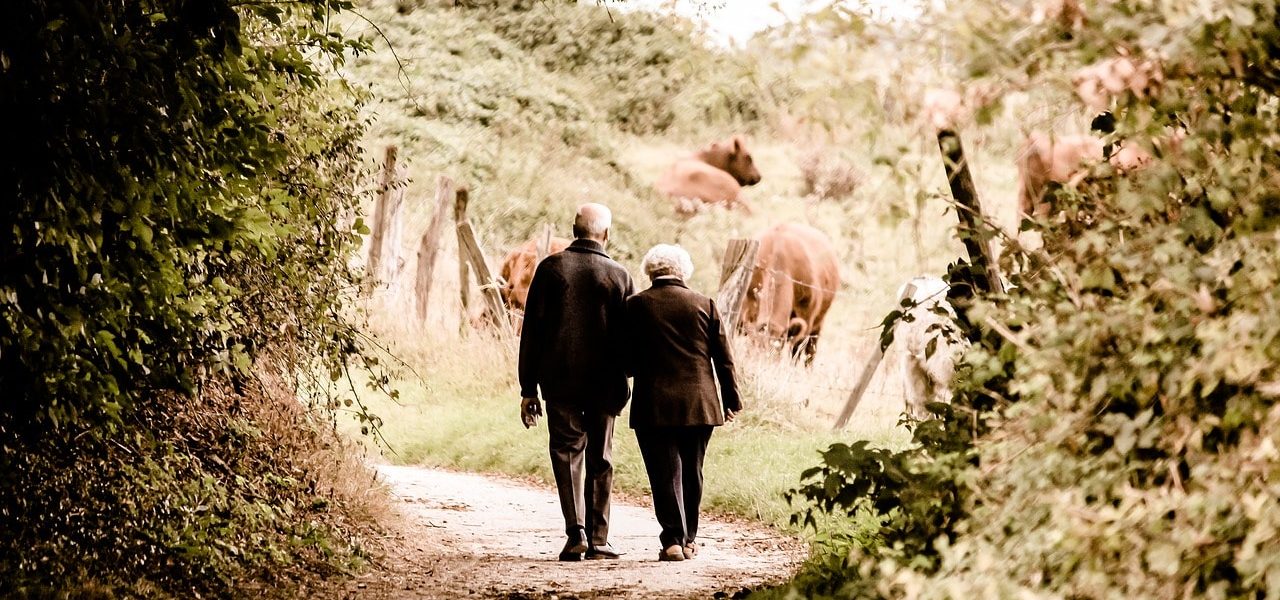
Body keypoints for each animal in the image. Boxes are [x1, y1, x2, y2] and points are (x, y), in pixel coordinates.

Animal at [742, 222, 839, 365]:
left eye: (776, 349)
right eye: (757, 347)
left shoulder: (806, 318)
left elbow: (796, 351)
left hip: (818, 324)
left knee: (810, 352)